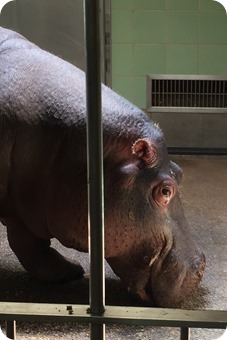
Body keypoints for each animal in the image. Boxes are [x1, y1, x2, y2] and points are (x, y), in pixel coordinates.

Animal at [0, 27, 206, 308]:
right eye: (165, 191)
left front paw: (72, 271)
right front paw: (73, 271)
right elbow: (31, 247)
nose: (202, 266)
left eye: (180, 171)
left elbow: (32, 248)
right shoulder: (22, 212)